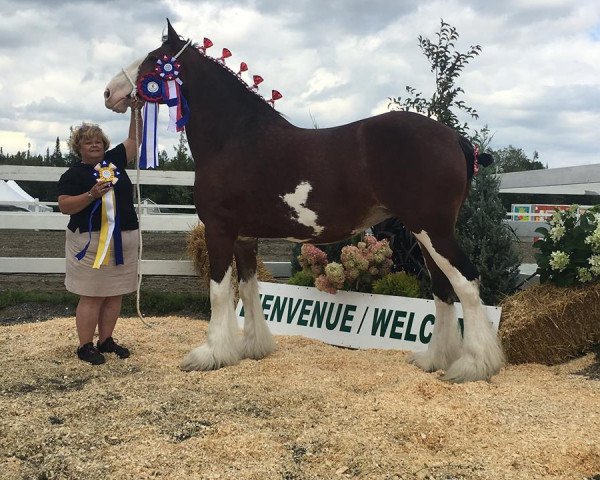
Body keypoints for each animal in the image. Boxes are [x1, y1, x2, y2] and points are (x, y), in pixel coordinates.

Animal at [105, 19, 504, 382]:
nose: (109, 92)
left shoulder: (219, 229)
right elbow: (248, 288)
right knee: (443, 289)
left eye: (153, 59)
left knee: (466, 283)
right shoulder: (244, 237)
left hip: (432, 230)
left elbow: (219, 291)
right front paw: (254, 348)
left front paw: (211, 354)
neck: (235, 138)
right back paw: (434, 360)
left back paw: (473, 366)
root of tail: (456, 140)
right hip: (427, 234)